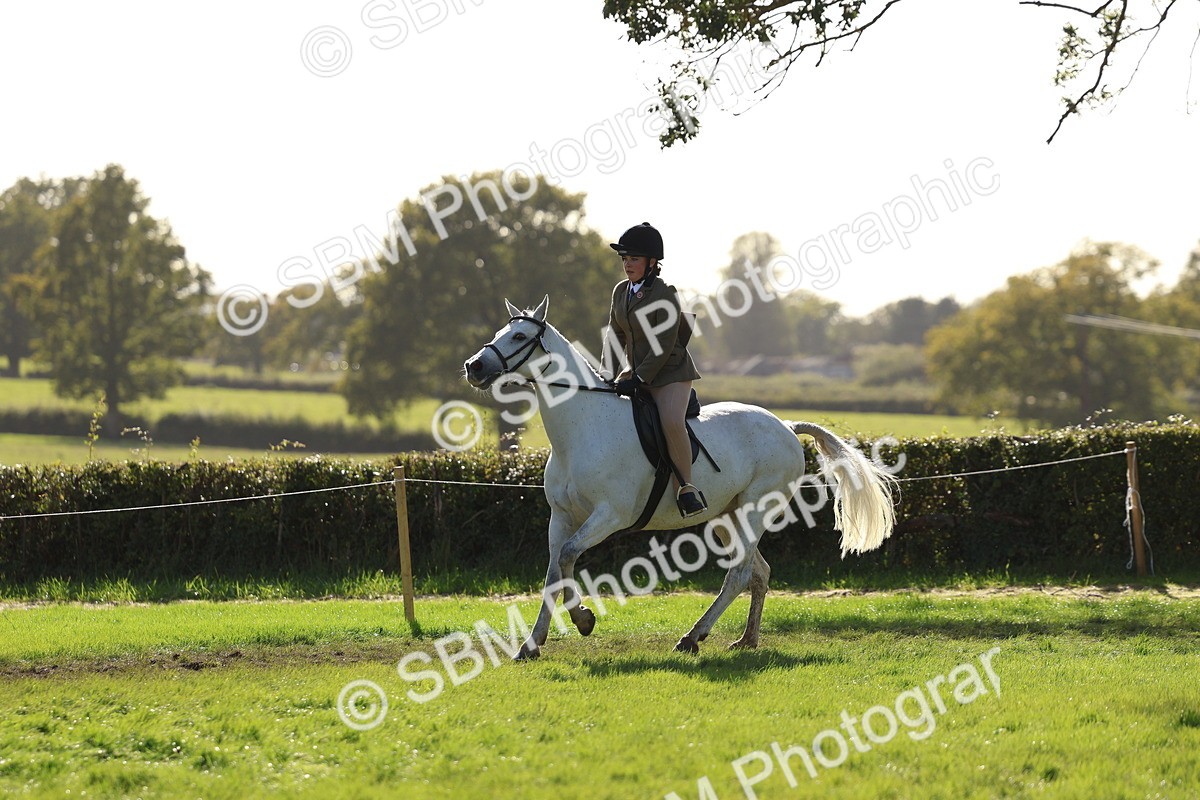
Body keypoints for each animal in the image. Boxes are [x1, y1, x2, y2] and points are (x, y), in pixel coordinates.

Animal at [464, 296, 897, 659]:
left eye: (520, 336)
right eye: (499, 333)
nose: (475, 367)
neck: (582, 428)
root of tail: (787, 427)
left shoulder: (609, 515)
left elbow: (569, 556)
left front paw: (584, 620)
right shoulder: (562, 516)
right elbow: (555, 570)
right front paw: (533, 644)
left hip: (756, 508)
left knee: (739, 574)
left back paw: (693, 637)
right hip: (727, 517)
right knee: (758, 573)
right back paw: (747, 640)